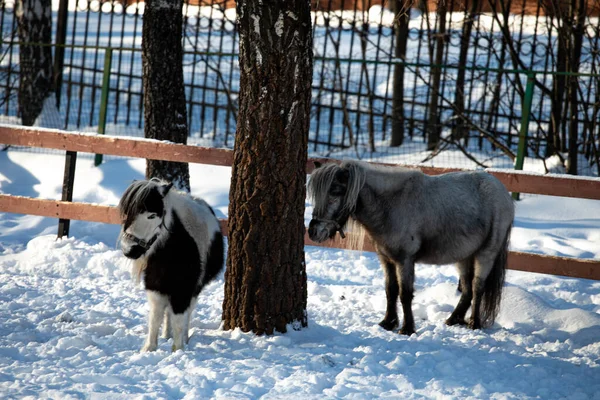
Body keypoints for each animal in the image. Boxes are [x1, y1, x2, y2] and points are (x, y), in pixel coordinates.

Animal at [118, 180, 224, 352]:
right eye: (128, 212)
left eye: (152, 215)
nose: (129, 249)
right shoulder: (155, 287)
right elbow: (155, 318)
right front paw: (149, 349)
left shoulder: (183, 291)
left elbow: (179, 321)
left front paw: (178, 349)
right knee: (168, 312)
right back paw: (166, 335)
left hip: (194, 290)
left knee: (187, 313)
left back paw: (185, 338)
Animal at [308, 161, 512, 336]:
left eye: (335, 192)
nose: (313, 232)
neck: (390, 204)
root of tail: (502, 191)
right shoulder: (386, 259)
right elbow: (390, 290)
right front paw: (388, 322)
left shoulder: (404, 260)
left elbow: (404, 294)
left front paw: (407, 328)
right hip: (464, 256)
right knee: (467, 289)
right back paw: (453, 319)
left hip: (486, 254)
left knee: (477, 287)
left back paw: (474, 323)